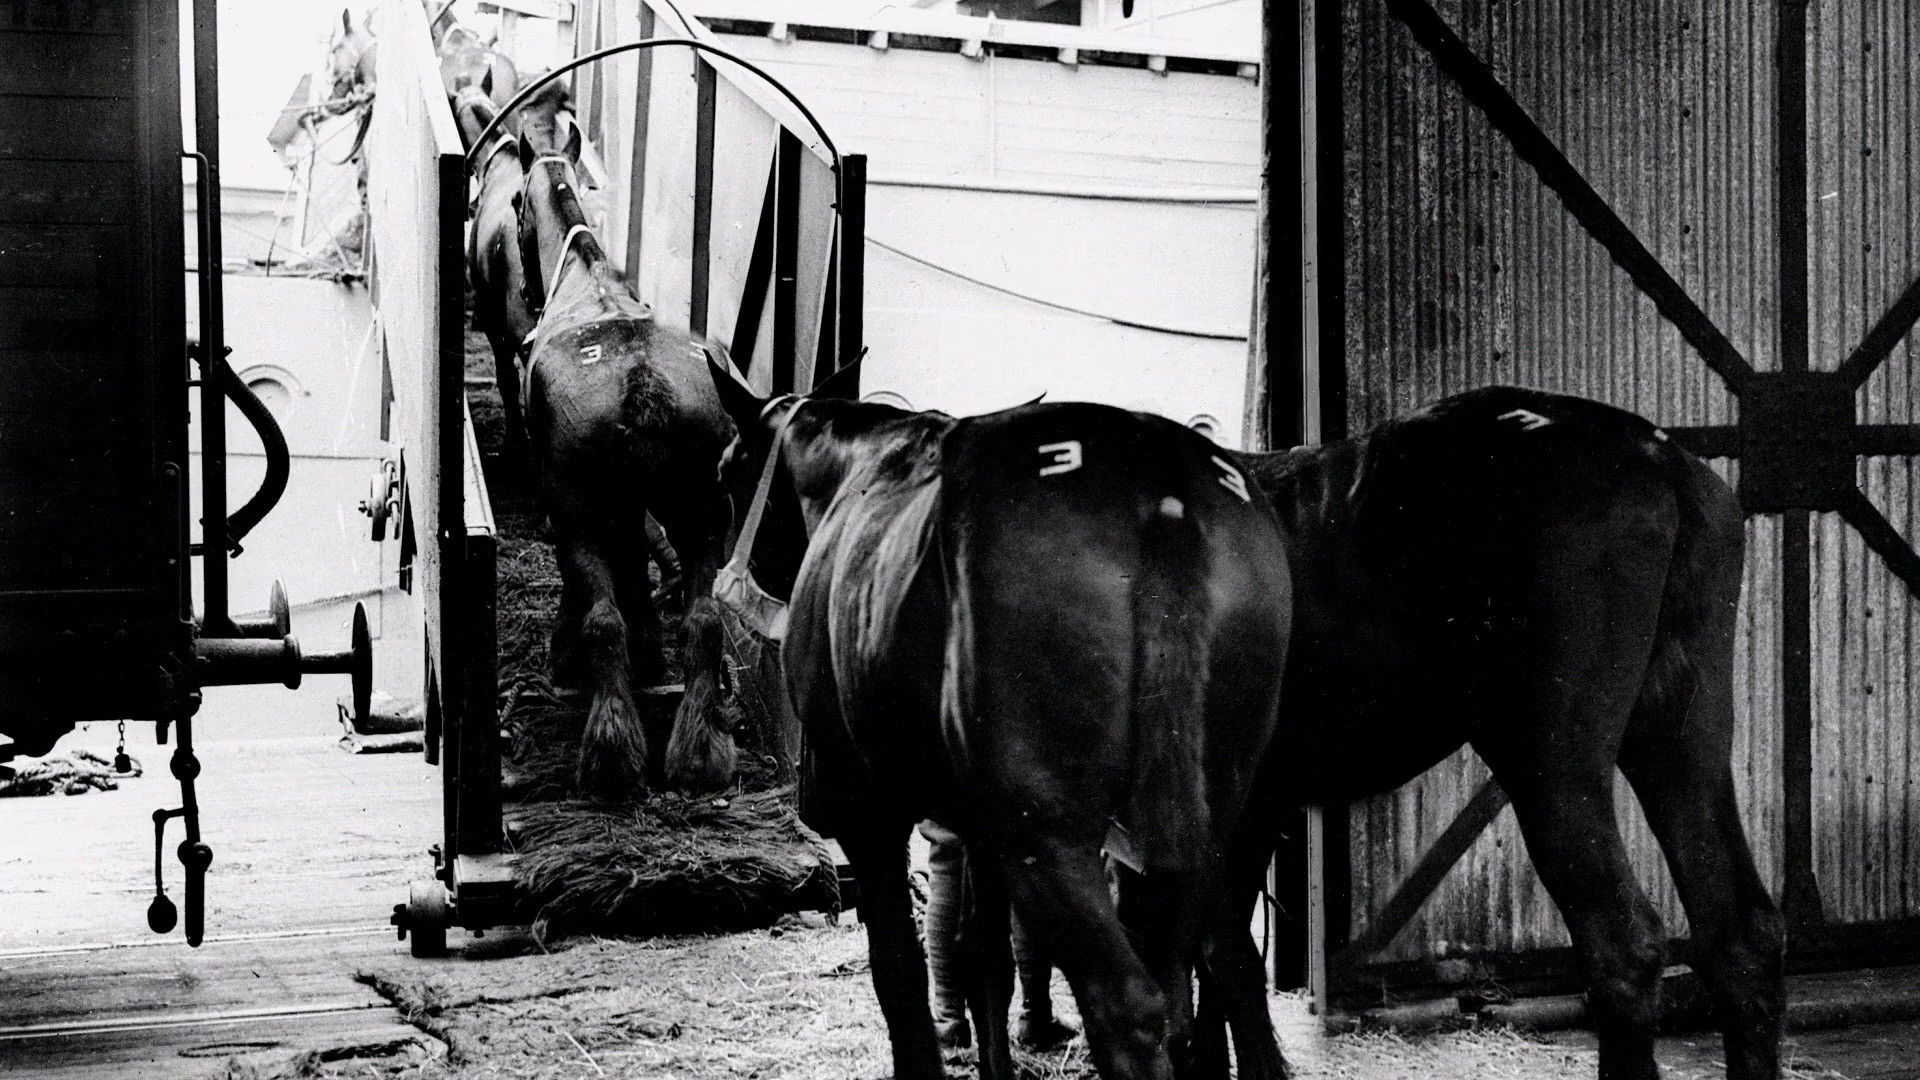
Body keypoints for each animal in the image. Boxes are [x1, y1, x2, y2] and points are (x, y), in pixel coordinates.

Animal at [516, 122, 738, 799]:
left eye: (514, 206)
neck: (586, 277)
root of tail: (642, 378)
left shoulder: (569, 504)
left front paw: (567, 658)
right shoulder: (637, 504)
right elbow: (639, 562)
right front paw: (651, 654)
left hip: (582, 510)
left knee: (602, 619)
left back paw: (610, 754)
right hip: (703, 510)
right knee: (703, 619)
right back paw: (700, 752)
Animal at [704, 364, 1293, 1080]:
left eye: (725, 473)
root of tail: (1161, 492)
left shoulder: (865, 814)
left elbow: (897, 972)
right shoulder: (979, 824)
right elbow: (984, 958)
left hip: (1049, 832)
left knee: (1128, 1004)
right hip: (1213, 813)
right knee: (1221, 968)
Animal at [1195, 386, 1782, 1080]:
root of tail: (1656, 455)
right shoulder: (1253, 806)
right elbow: (1217, 953)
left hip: (1549, 759)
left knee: (1624, 941)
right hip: (1683, 732)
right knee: (1741, 933)